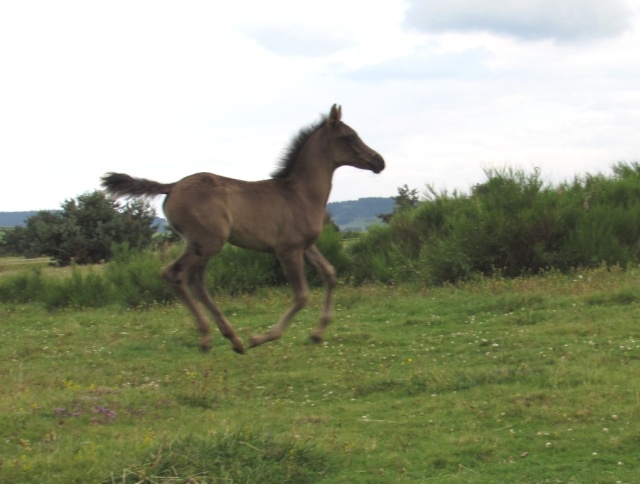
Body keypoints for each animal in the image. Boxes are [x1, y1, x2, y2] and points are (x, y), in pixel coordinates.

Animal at [99, 106, 380, 354]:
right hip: (208, 243)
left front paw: (317, 333)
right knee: (175, 274)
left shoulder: (306, 246)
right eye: (350, 137)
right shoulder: (287, 250)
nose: (380, 161)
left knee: (197, 282)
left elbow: (330, 274)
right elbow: (301, 295)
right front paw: (262, 337)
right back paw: (210, 338)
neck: (300, 193)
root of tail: (172, 186)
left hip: (200, 245)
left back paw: (232, 339)